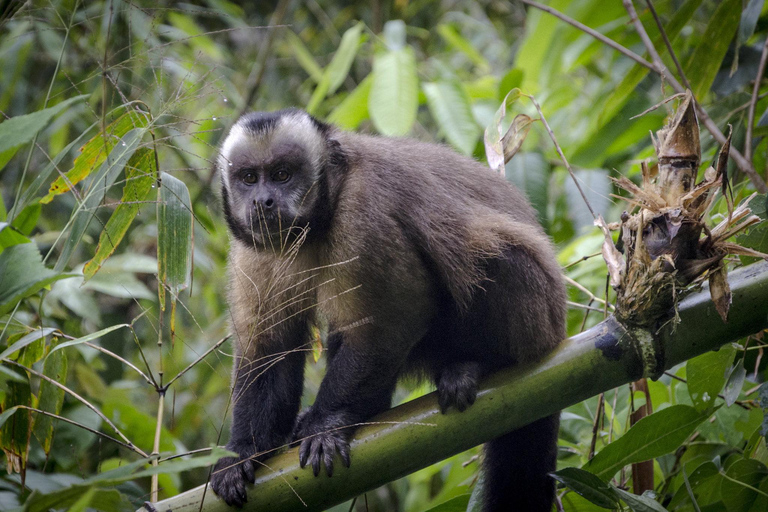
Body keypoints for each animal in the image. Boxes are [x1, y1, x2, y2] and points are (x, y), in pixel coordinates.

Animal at [208, 109, 564, 512]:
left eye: (283, 174)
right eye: (249, 178)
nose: (263, 201)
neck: (318, 221)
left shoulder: (364, 213)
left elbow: (396, 314)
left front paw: (328, 423)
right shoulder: (252, 249)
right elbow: (269, 347)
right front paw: (244, 452)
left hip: (537, 313)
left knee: (486, 258)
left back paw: (485, 363)